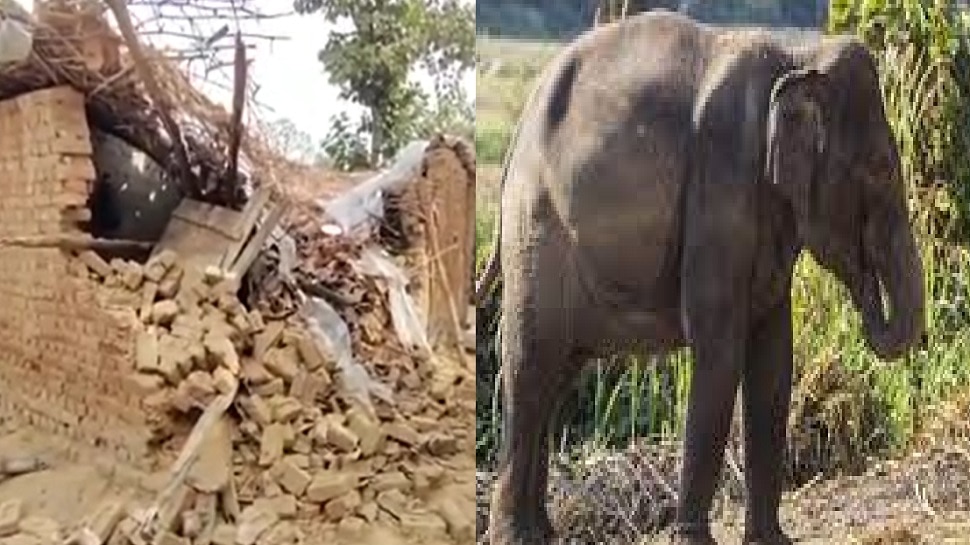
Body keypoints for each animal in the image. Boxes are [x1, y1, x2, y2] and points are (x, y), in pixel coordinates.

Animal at [475, 10, 925, 545]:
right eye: (879, 170)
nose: (867, 296)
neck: (798, 58)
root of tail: (516, 135)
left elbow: (774, 358)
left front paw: (773, 541)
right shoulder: (721, 182)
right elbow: (718, 347)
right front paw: (693, 539)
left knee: (556, 373)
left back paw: (540, 532)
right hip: (536, 232)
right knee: (530, 362)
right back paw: (514, 535)